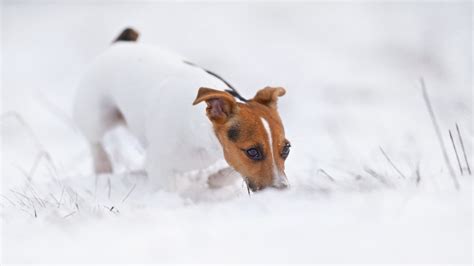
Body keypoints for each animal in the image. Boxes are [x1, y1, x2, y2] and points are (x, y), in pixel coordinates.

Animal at [73, 28, 288, 191]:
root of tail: (121, 43)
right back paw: (103, 166)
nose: (282, 189)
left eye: (286, 149)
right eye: (252, 152)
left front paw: (217, 180)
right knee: (94, 141)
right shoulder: (158, 164)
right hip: (97, 115)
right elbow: (165, 188)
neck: (203, 137)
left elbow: (234, 169)